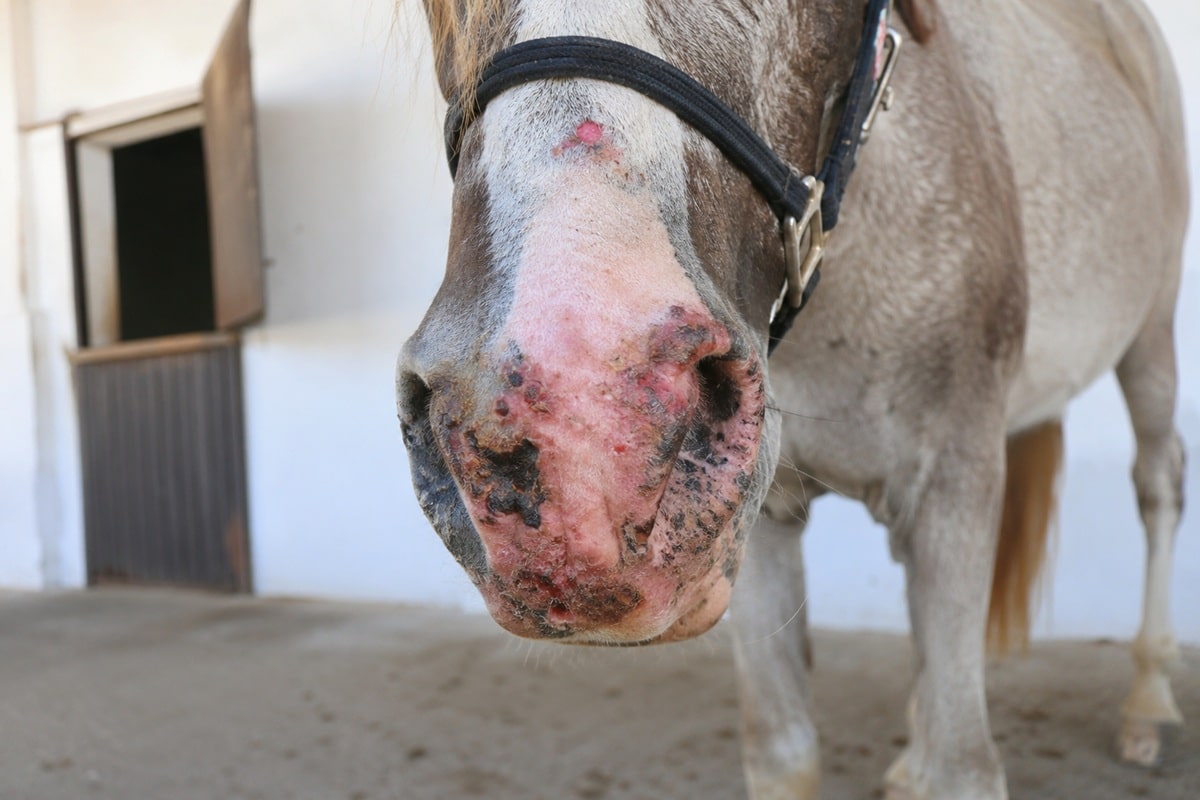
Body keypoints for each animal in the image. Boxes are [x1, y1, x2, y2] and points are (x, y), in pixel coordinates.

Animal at [396, 0, 1188, 797]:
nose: (579, 434)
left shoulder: (953, 487)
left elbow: (960, 763)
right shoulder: (753, 522)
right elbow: (784, 748)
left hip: (1151, 337)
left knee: (1158, 482)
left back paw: (1148, 703)